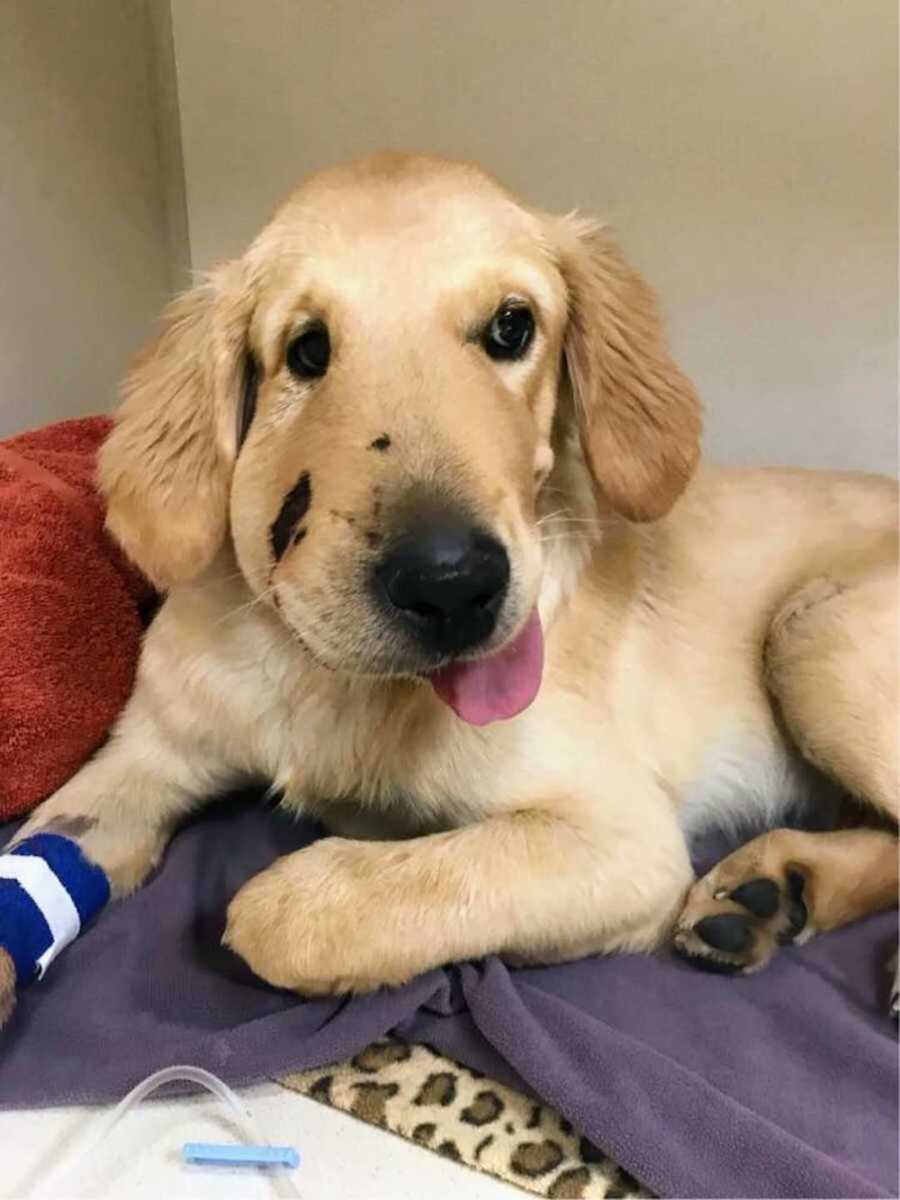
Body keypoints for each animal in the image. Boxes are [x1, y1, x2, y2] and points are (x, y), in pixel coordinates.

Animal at [3, 147, 897, 1012]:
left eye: (512, 325)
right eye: (307, 349)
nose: (452, 585)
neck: (318, 668)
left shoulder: (620, 838)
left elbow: (299, 910)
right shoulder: (142, 756)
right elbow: (38, 854)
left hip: (815, 632)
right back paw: (769, 892)